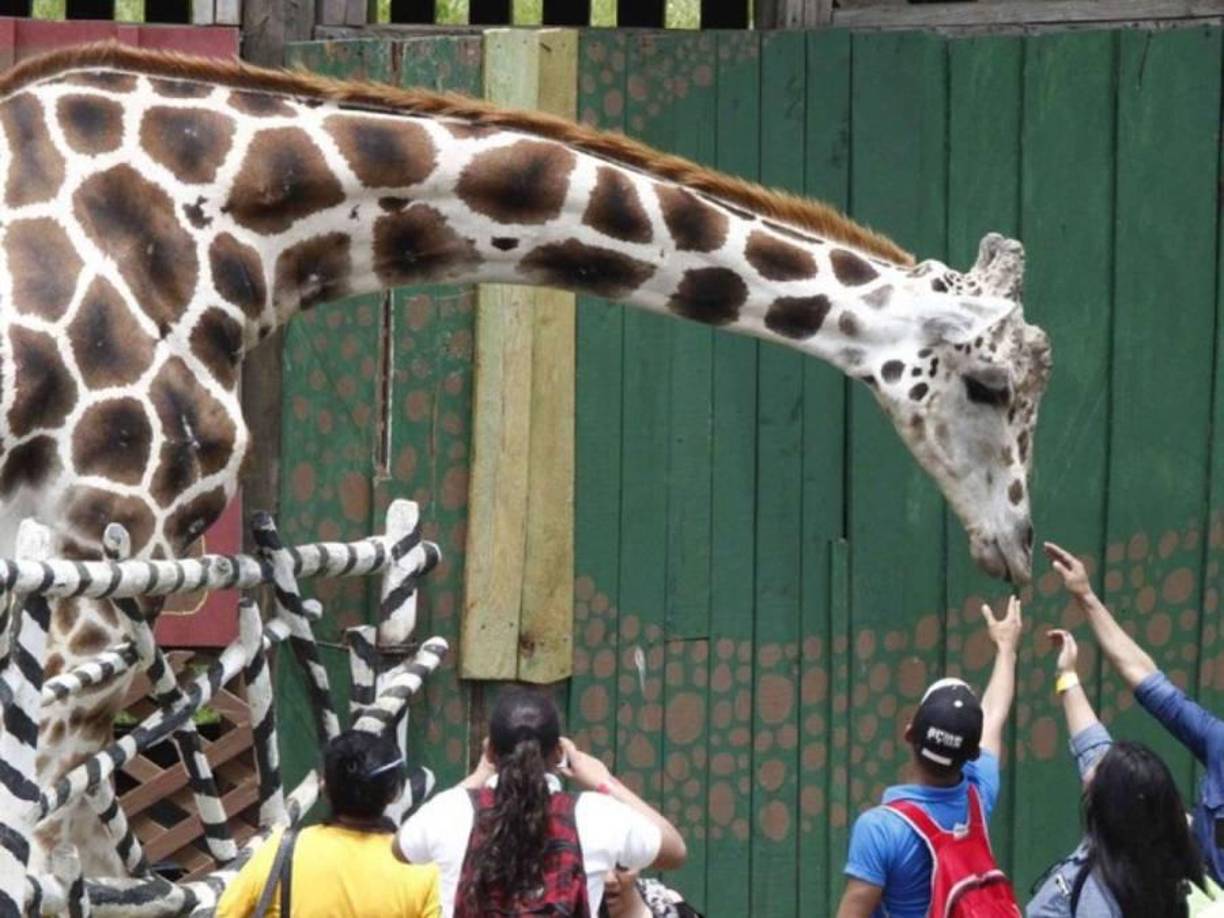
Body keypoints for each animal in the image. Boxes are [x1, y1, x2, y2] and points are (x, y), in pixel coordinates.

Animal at [0, 44, 1050, 872]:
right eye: (990, 385)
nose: (1016, 543)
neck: (237, 223)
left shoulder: (55, 546)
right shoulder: (110, 524)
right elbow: (48, 849)